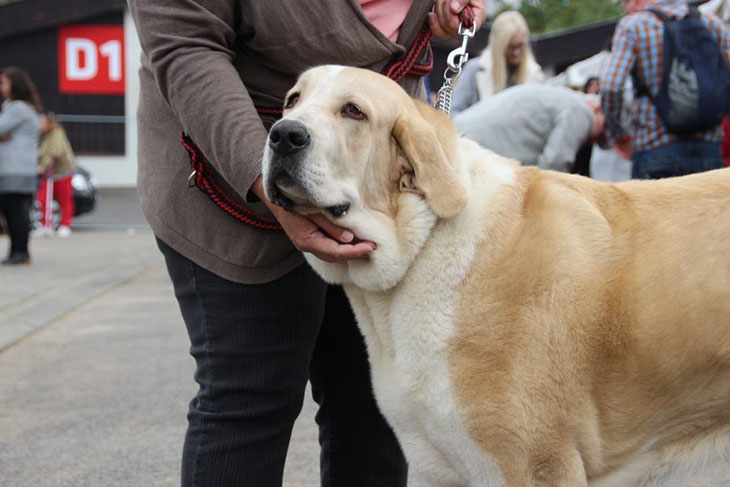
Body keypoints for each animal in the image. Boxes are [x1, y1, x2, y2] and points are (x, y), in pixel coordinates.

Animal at [262, 66, 728, 487]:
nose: (285, 135)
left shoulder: (533, 464)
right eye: (293, 100)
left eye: (353, 111)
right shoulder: (440, 468)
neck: (424, 241)